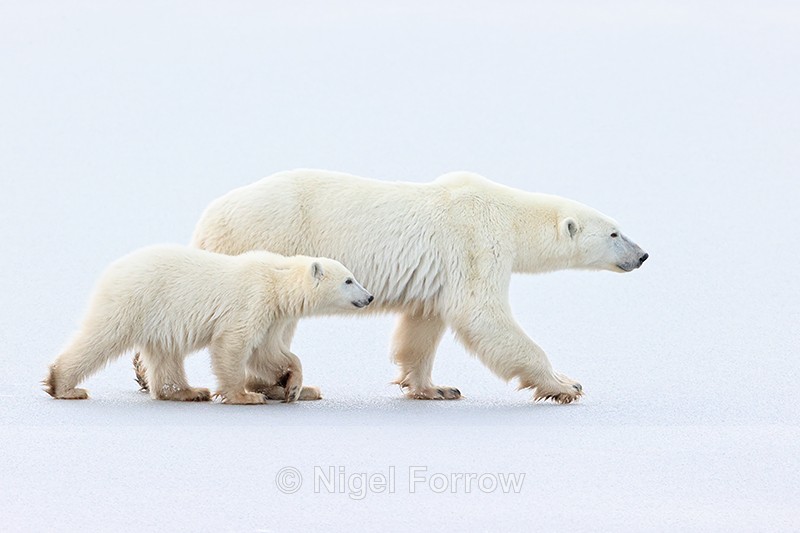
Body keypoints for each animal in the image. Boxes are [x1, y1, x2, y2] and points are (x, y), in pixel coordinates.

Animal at [44, 244, 373, 404]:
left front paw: (295, 385)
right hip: (136, 301)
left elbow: (267, 354)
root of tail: (113, 268)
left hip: (158, 318)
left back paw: (188, 391)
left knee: (166, 355)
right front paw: (245, 396)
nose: (369, 296)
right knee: (102, 337)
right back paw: (64, 386)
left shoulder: (273, 317)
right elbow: (233, 345)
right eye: (349, 280)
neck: (277, 282)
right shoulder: (252, 301)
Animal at [136, 170, 648, 404]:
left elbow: (423, 326)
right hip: (266, 241)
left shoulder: (442, 271)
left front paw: (434, 387)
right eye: (615, 233)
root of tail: (208, 218)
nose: (643, 255)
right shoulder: (476, 244)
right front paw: (566, 383)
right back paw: (283, 384)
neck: (506, 213)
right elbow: (483, 316)